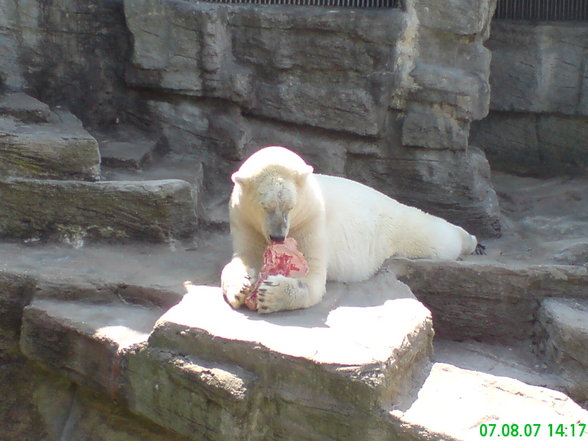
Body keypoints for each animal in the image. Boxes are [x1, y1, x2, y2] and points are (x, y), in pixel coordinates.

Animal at [220, 146, 478, 312]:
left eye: (290, 207)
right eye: (264, 206)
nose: (277, 237)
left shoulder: (311, 219)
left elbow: (312, 274)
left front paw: (270, 294)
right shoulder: (243, 218)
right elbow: (244, 256)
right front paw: (240, 286)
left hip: (398, 226)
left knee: (435, 238)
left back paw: (471, 240)